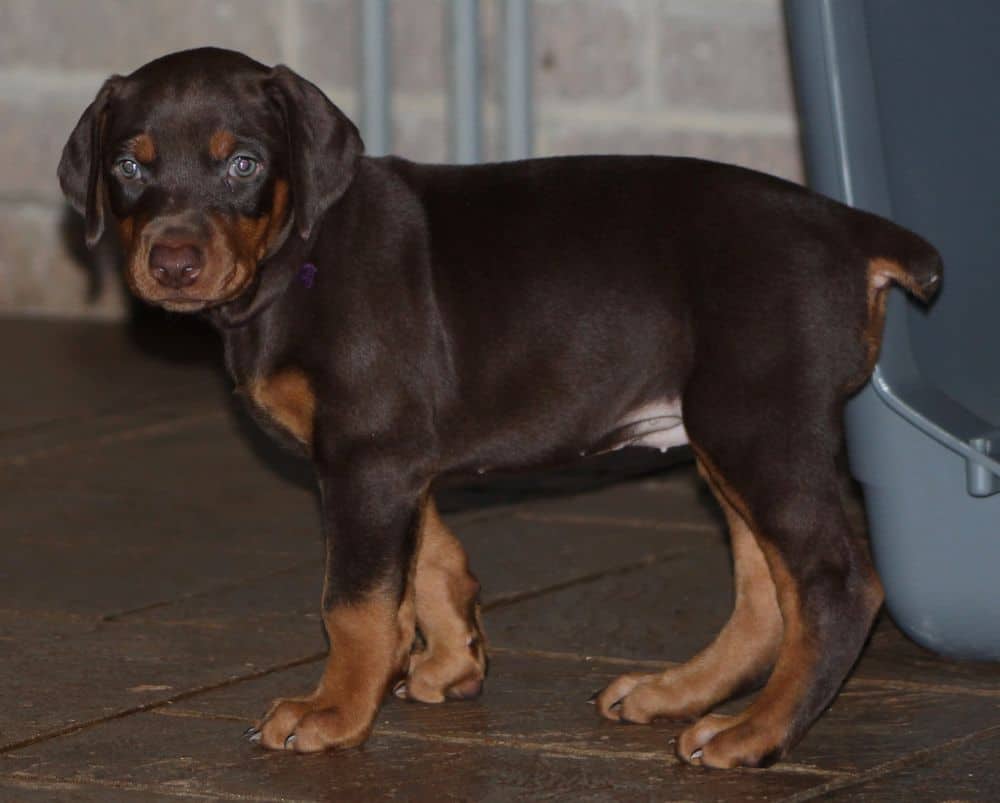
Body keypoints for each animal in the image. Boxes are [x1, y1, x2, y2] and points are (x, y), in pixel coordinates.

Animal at [60, 47, 936, 768]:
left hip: (755, 422)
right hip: (733, 434)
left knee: (832, 584)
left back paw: (756, 734)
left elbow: (354, 600)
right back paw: (680, 695)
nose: (173, 263)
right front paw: (452, 659)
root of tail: (851, 229)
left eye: (243, 164)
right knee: (765, 596)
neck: (298, 256)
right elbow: (427, 561)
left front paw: (334, 711)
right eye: (129, 166)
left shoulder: (367, 455)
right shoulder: (393, 458)